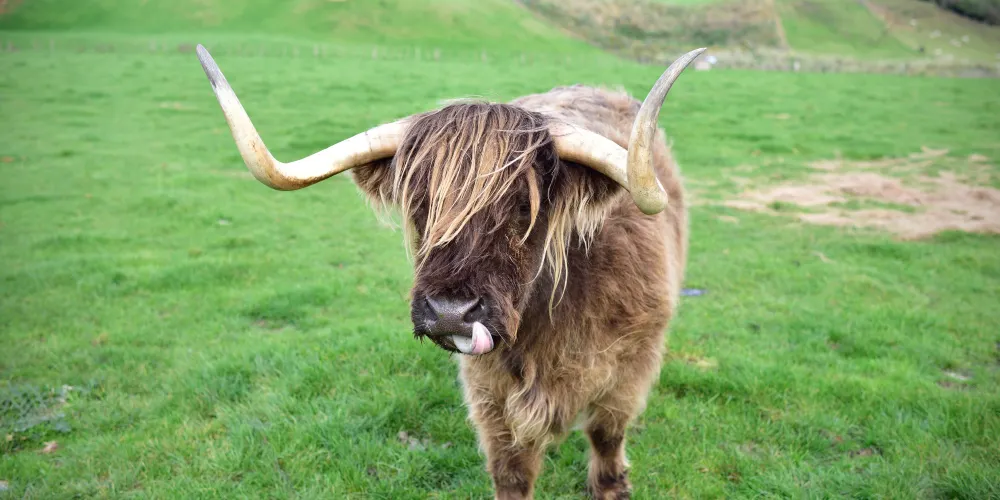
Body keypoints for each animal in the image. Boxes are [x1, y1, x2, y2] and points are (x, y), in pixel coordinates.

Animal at [195, 44, 704, 499]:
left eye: (525, 207)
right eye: (421, 204)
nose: (450, 312)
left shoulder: (630, 367)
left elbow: (606, 435)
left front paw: (613, 486)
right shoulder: (489, 393)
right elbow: (511, 472)